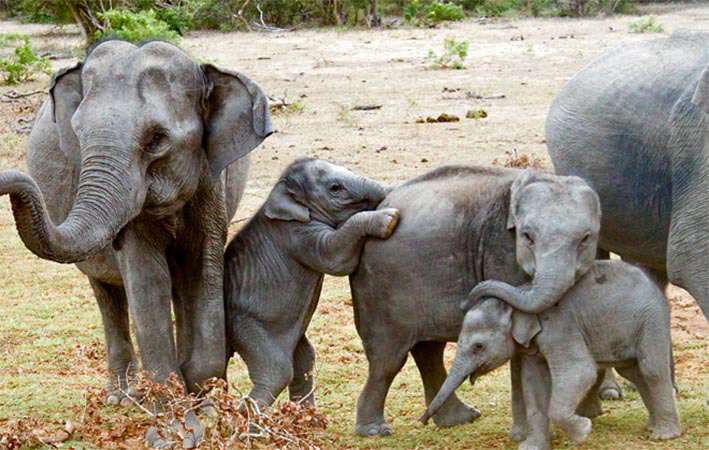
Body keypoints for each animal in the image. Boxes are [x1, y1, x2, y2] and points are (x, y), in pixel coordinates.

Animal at [0, 41, 272, 404]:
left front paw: (203, 400)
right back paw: (121, 396)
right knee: (107, 293)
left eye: (157, 140)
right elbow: (146, 279)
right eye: (77, 134)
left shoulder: (212, 180)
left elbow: (203, 268)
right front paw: (175, 412)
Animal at [224, 158, 399, 410]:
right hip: (246, 323)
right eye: (335, 187)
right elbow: (337, 259)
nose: (391, 193)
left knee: (304, 359)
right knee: (276, 372)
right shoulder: (298, 235)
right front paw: (390, 218)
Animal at [349, 165, 602, 437]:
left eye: (586, 238)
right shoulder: (500, 252)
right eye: (527, 237)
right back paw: (374, 430)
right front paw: (525, 435)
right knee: (388, 359)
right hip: (381, 287)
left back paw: (458, 418)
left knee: (429, 350)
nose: (466, 302)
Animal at [421, 259, 682, 449]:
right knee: (633, 372)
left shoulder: (561, 329)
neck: (523, 295)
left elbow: (580, 371)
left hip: (652, 319)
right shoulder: (532, 344)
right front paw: (531, 447)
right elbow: (533, 383)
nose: (421, 421)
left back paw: (664, 436)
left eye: (478, 347)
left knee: (651, 369)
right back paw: (651, 427)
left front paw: (583, 431)